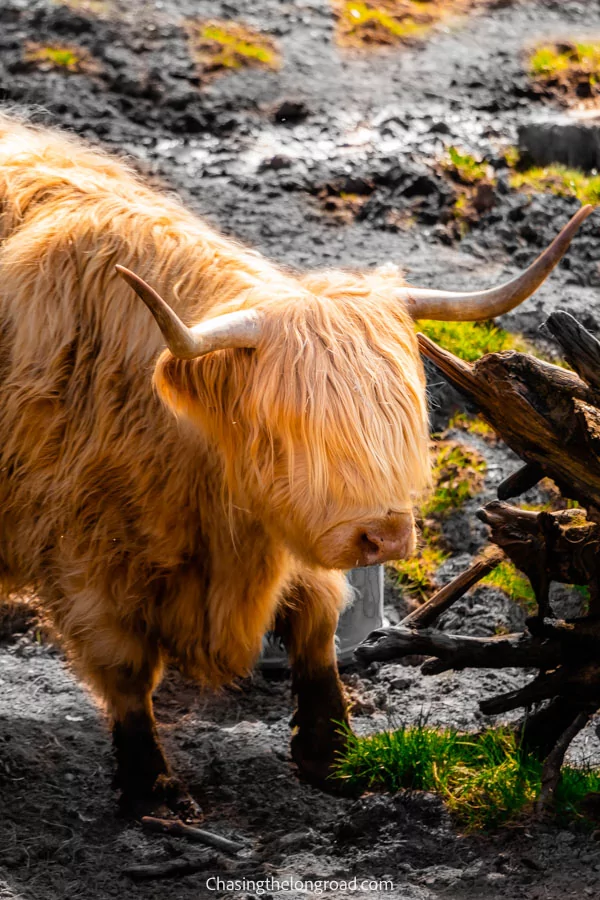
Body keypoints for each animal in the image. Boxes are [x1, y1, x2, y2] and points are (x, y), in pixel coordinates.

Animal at [0, 114, 592, 816]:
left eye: (399, 423)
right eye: (294, 430)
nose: (385, 535)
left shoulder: (284, 537)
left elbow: (316, 624)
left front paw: (331, 753)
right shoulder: (87, 558)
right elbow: (125, 669)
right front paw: (155, 790)